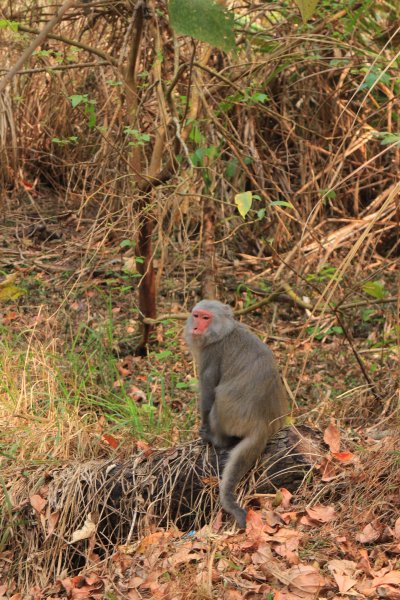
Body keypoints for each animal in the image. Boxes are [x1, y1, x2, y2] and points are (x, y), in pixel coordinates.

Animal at [184, 298, 288, 524]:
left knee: (217, 401)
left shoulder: (212, 353)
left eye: (205, 318)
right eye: (196, 315)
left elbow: (208, 393)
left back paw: (217, 440)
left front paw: (204, 431)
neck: (223, 331)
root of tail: (262, 424)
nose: (195, 327)